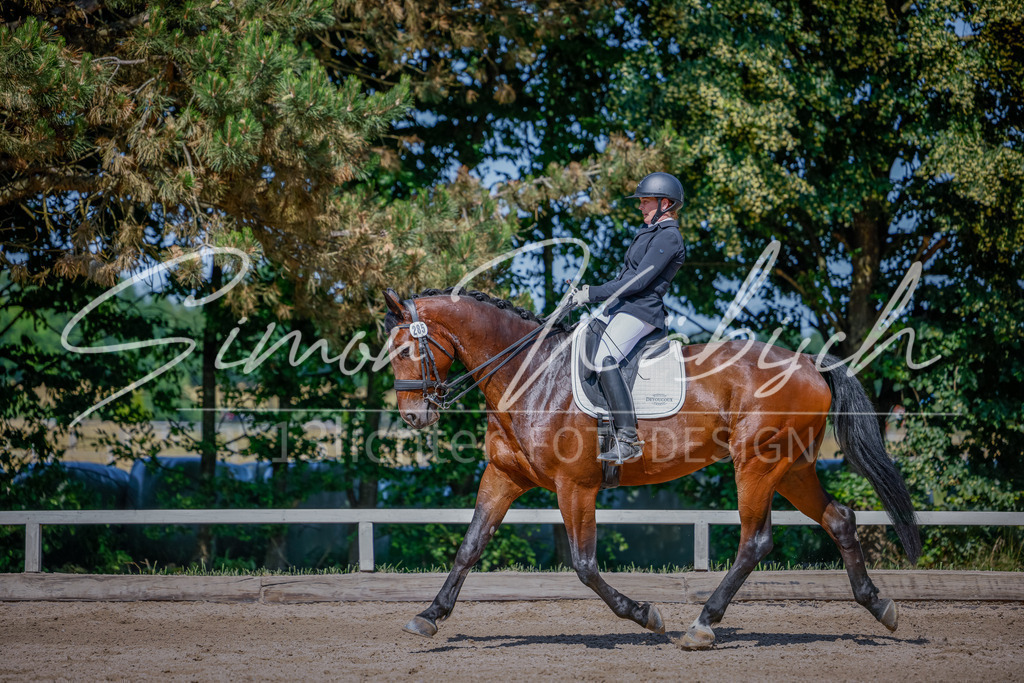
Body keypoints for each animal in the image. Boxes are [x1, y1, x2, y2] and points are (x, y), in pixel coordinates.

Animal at [382, 287, 919, 649]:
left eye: (406, 350)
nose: (413, 417)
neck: (530, 375)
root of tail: (810, 363)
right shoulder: (504, 476)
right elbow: (470, 546)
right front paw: (429, 614)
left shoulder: (575, 486)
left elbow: (584, 565)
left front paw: (643, 614)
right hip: (792, 468)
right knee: (839, 519)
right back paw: (880, 606)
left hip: (758, 465)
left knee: (756, 541)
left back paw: (701, 625)